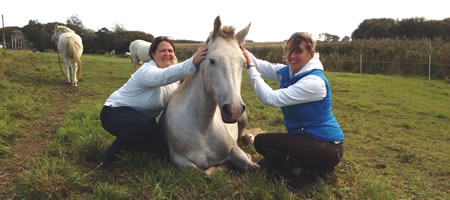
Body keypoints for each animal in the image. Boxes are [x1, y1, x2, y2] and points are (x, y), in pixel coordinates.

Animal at [159, 16, 260, 173]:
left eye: (243, 63)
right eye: (212, 60)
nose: (234, 110)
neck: (203, 129)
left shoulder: (234, 148)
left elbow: (254, 166)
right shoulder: (180, 160)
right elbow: (206, 173)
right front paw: (221, 167)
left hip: (243, 119)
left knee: (244, 135)